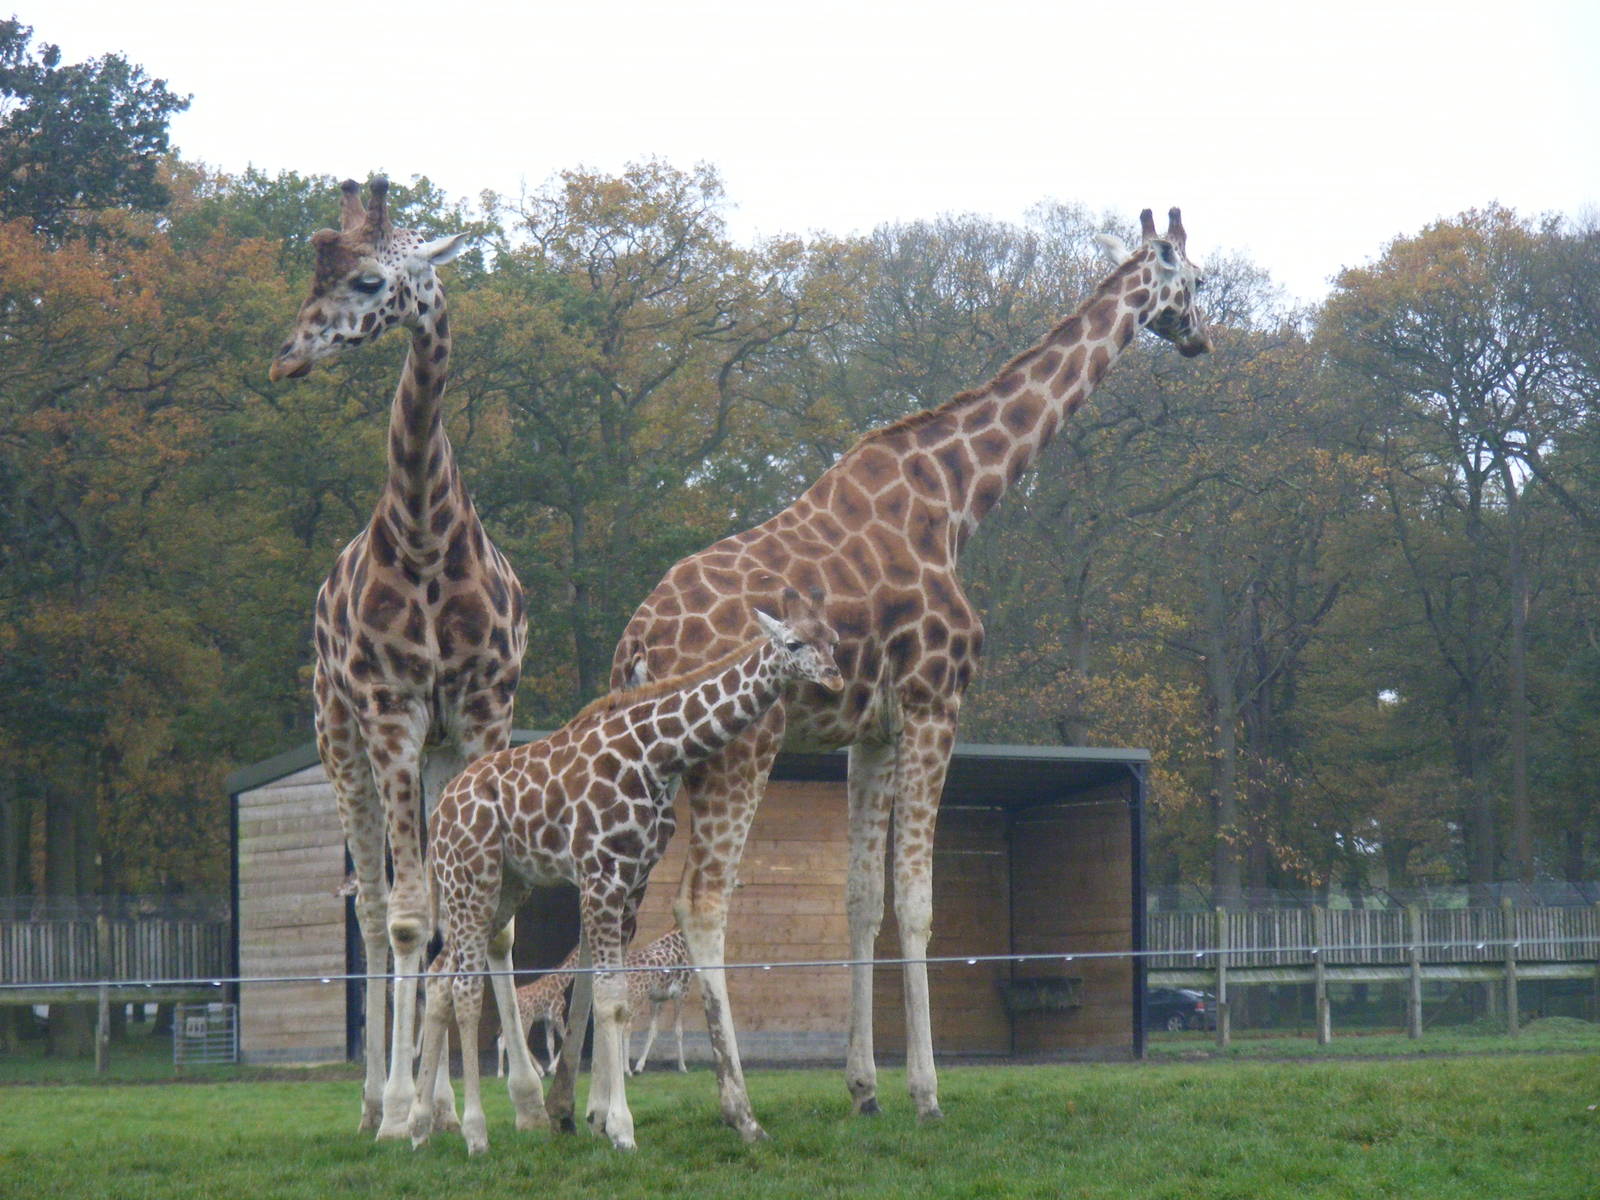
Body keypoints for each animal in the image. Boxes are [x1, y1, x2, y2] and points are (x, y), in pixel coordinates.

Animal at [269, 177, 528, 1138]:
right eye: (315, 272)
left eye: (373, 280)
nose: (288, 357)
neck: (424, 534)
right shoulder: (389, 710)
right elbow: (410, 920)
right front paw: (404, 1114)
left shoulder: (483, 712)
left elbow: (485, 922)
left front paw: (522, 1104)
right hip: (340, 737)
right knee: (379, 914)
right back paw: (381, 1100)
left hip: (437, 754)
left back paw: (441, 1103)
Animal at [411, 589, 841, 1154]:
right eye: (793, 643)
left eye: (835, 640)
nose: (834, 678)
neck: (656, 753)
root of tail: (439, 814)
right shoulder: (600, 873)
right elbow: (611, 998)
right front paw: (620, 1129)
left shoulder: (634, 875)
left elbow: (610, 1001)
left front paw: (605, 1121)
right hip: (471, 877)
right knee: (462, 985)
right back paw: (474, 1135)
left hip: (506, 887)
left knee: (440, 977)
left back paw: (418, 1128)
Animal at [597, 208, 1211, 1139]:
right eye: (1200, 281)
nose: (1204, 339)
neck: (957, 499)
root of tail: (639, 635)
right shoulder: (934, 704)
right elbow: (919, 906)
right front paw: (925, 1091)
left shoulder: (870, 733)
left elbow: (861, 901)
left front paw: (864, 1087)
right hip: (738, 752)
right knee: (698, 906)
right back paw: (736, 1109)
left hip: (650, 769)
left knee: (614, 910)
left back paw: (595, 1113)